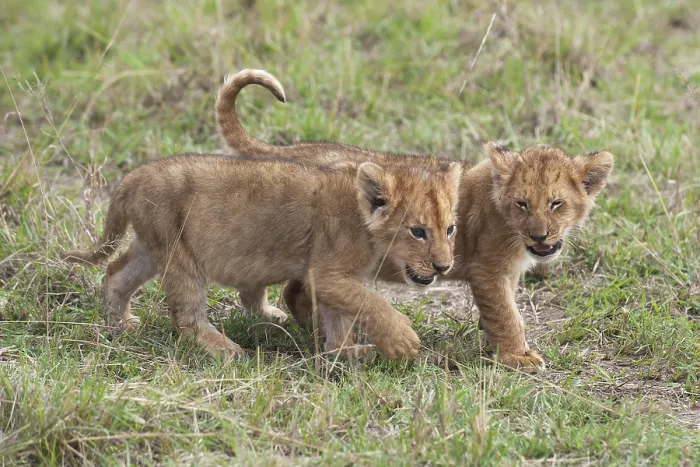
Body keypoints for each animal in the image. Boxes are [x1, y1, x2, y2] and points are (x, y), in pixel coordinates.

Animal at [61, 154, 462, 359]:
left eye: (450, 229)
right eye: (418, 232)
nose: (443, 266)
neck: (363, 222)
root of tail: (132, 178)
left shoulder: (337, 279)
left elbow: (340, 321)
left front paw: (346, 352)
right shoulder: (326, 273)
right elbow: (372, 303)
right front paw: (402, 341)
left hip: (151, 244)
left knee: (116, 273)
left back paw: (120, 325)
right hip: (177, 251)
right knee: (185, 315)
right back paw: (226, 349)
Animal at [215, 69, 614, 371]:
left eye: (556, 204)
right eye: (522, 204)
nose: (541, 235)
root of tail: (292, 149)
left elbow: (502, 312)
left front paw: (492, 340)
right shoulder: (488, 270)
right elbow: (506, 314)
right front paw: (518, 355)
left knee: (295, 290)